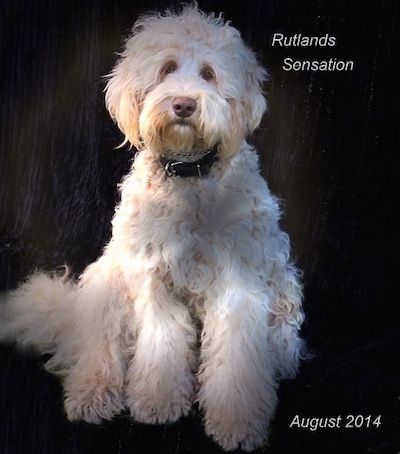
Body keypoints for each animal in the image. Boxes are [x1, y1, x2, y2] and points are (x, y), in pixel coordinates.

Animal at [0, 3, 304, 450]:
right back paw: (92, 395)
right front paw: (158, 404)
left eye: (209, 73)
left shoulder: (239, 285)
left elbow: (236, 361)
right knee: (96, 352)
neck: (189, 176)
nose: (183, 105)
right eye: (167, 68)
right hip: (108, 285)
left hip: (283, 308)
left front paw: (237, 420)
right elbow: (161, 346)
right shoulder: (155, 281)